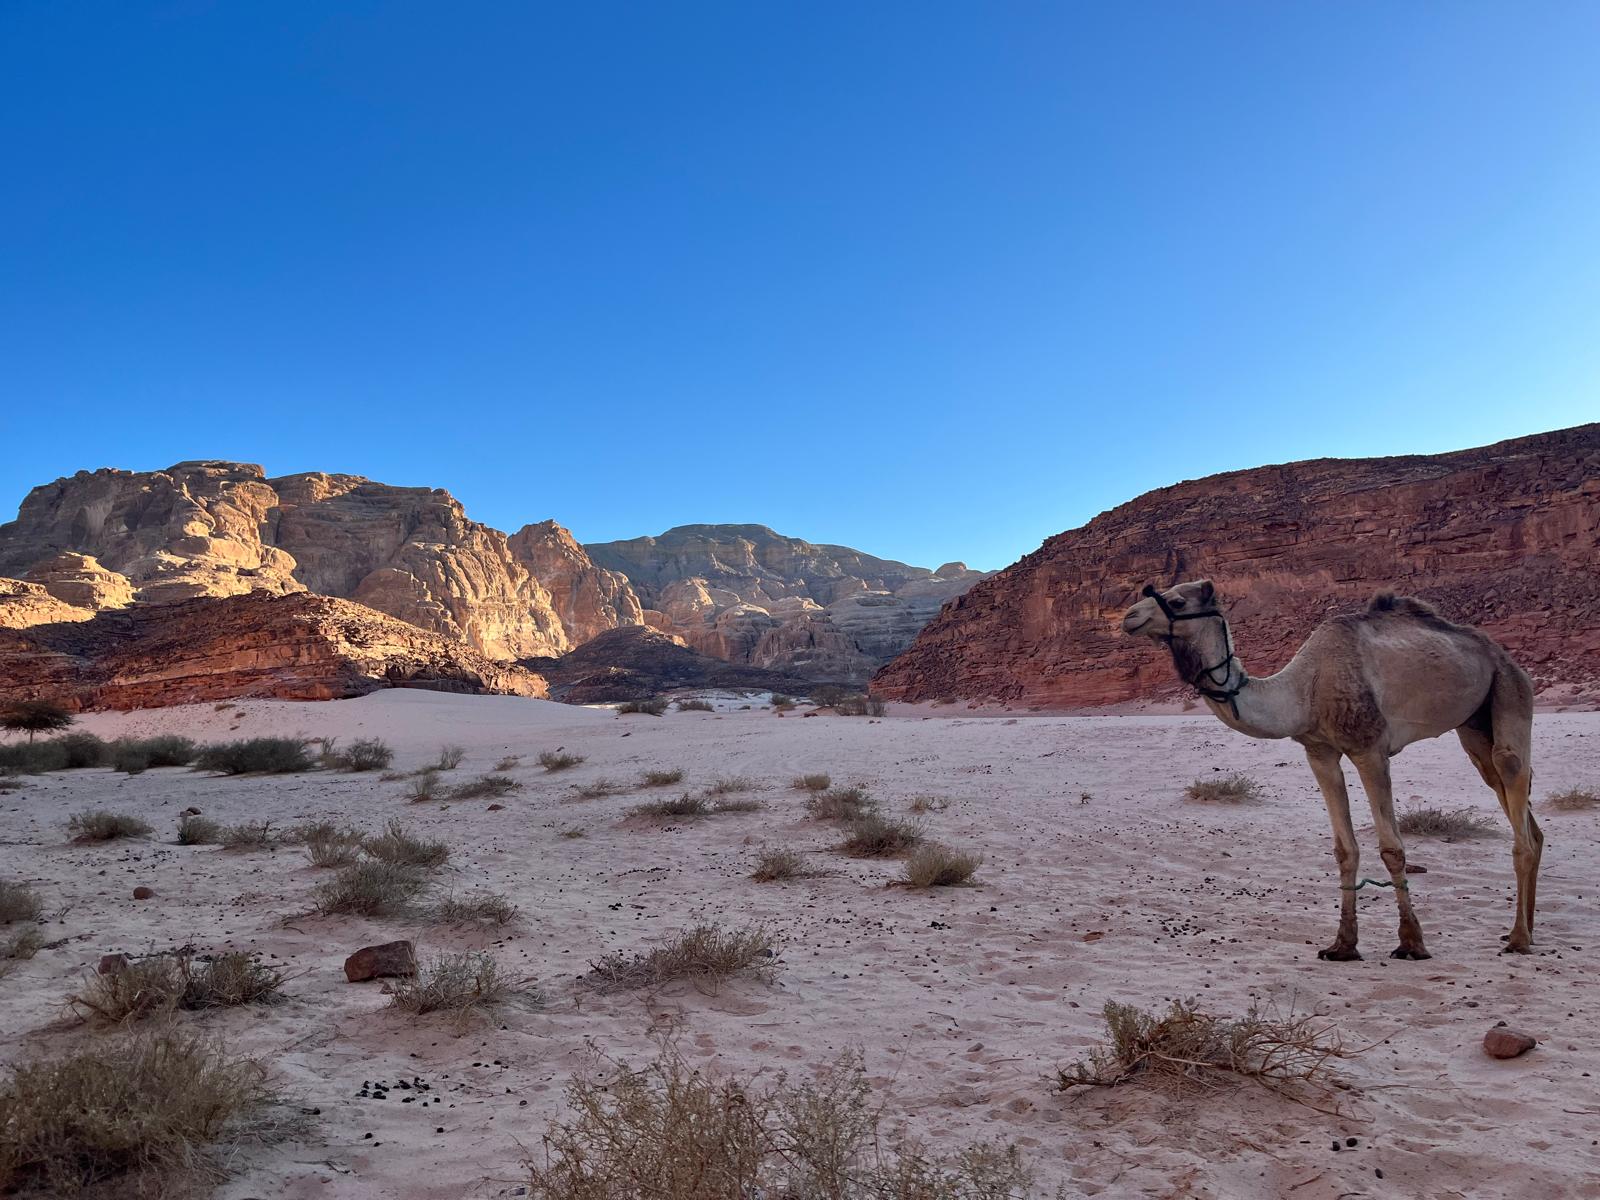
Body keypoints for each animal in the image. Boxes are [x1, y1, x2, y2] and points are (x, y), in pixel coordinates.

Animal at [1121, 580, 1541, 960]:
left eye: (1178, 600)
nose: (1129, 617)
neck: (1305, 690)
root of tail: (1500, 654)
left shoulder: (1370, 748)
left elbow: (1392, 848)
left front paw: (1411, 943)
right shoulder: (1319, 752)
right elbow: (1344, 849)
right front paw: (1343, 945)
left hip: (1510, 689)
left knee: (1511, 773)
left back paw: (1519, 939)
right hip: (1473, 725)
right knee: (1513, 801)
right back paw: (1526, 929)